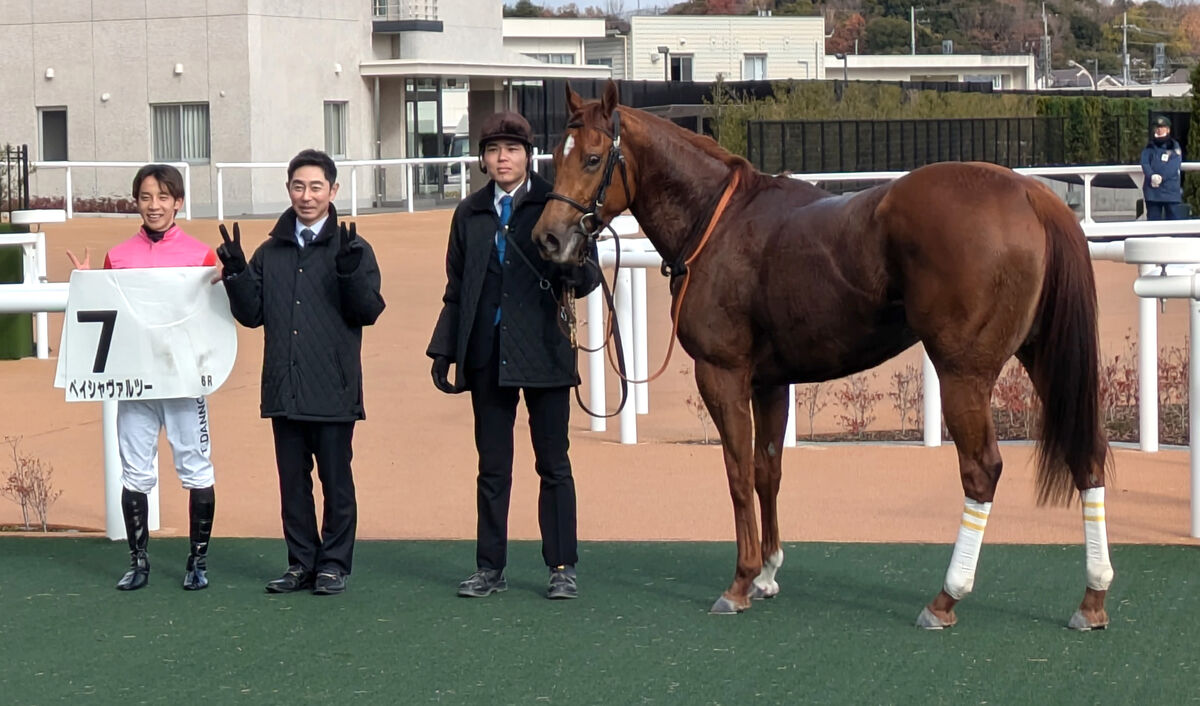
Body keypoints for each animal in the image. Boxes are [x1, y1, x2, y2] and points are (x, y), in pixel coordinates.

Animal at [535, 81, 1113, 629]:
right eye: (555, 155)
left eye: (592, 158)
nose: (548, 238)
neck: (718, 222)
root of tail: (1029, 192)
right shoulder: (768, 382)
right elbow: (767, 469)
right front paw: (767, 573)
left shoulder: (722, 374)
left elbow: (737, 472)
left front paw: (740, 581)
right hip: (1043, 359)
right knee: (1087, 455)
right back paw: (1092, 598)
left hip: (962, 373)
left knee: (981, 471)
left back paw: (947, 597)